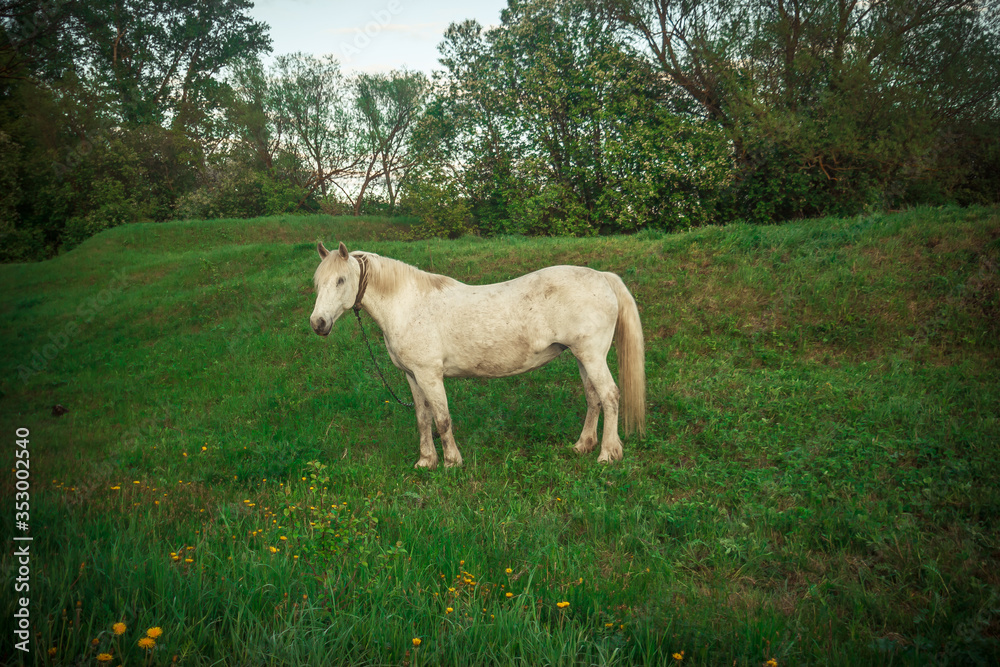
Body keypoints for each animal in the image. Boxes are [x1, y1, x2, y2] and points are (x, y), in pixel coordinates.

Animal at [310, 242, 645, 469]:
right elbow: (423, 418)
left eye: (340, 280)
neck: (408, 304)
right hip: (582, 357)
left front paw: (451, 462)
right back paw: (582, 446)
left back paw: (607, 453)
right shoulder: (412, 376)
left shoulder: (430, 375)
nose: (318, 323)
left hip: (592, 356)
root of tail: (602, 276)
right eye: (317, 282)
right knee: (594, 398)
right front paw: (426, 461)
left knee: (610, 396)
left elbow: (442, 419)